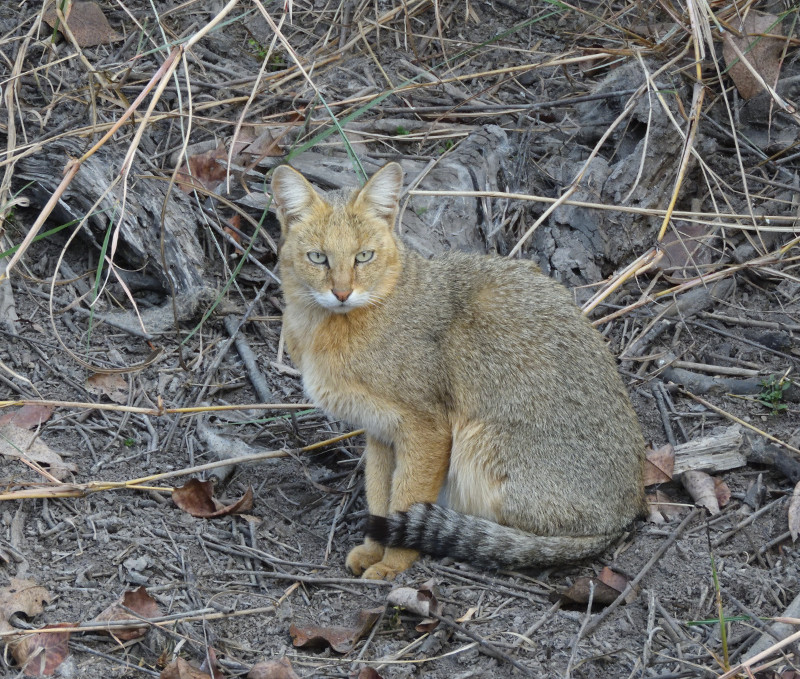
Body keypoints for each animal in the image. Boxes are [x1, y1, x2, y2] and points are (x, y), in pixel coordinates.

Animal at [272, 162, 648, 580]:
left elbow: (404, 500)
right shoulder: (380, 432)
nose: (341, 293)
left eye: (363, 256)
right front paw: (372, 551)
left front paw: (393, 564)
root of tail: (624, 518)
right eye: (318, 257)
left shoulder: (427, 428)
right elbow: (378, 496)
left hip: (477, 445)